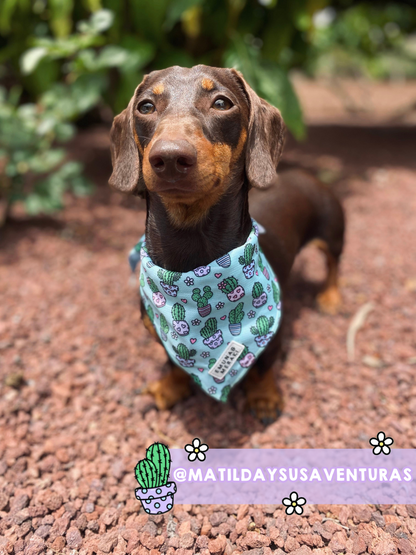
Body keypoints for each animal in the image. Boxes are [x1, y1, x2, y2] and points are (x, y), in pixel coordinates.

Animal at [108, 65, 344, 424]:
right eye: (145, 106)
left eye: (222, 102)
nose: (170, 157)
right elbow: (173, 365)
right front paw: (168, 389)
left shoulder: (274, 330)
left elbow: (263, 367)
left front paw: (264, 397)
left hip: (332, 232)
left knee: (333, 265)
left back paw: (330, 297)